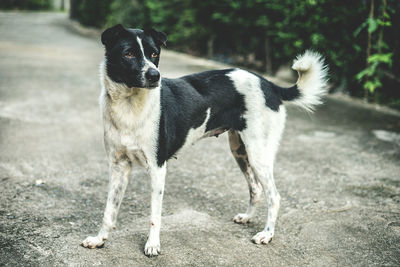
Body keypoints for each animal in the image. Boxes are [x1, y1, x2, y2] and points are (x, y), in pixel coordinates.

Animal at [81, 24, 328, 258]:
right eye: (129, 53)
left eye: (154, 54)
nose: (154, 75)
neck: (130, 106)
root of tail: (269, 85)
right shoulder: (118, 166)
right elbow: (109, 210)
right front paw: (99, 239)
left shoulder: (158, 168)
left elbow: (154, 215)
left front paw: (152, 245)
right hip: (240, 151)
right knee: (256, 189)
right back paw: (247, 217)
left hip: (259, 153)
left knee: (274, 196)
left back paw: (266, 234)